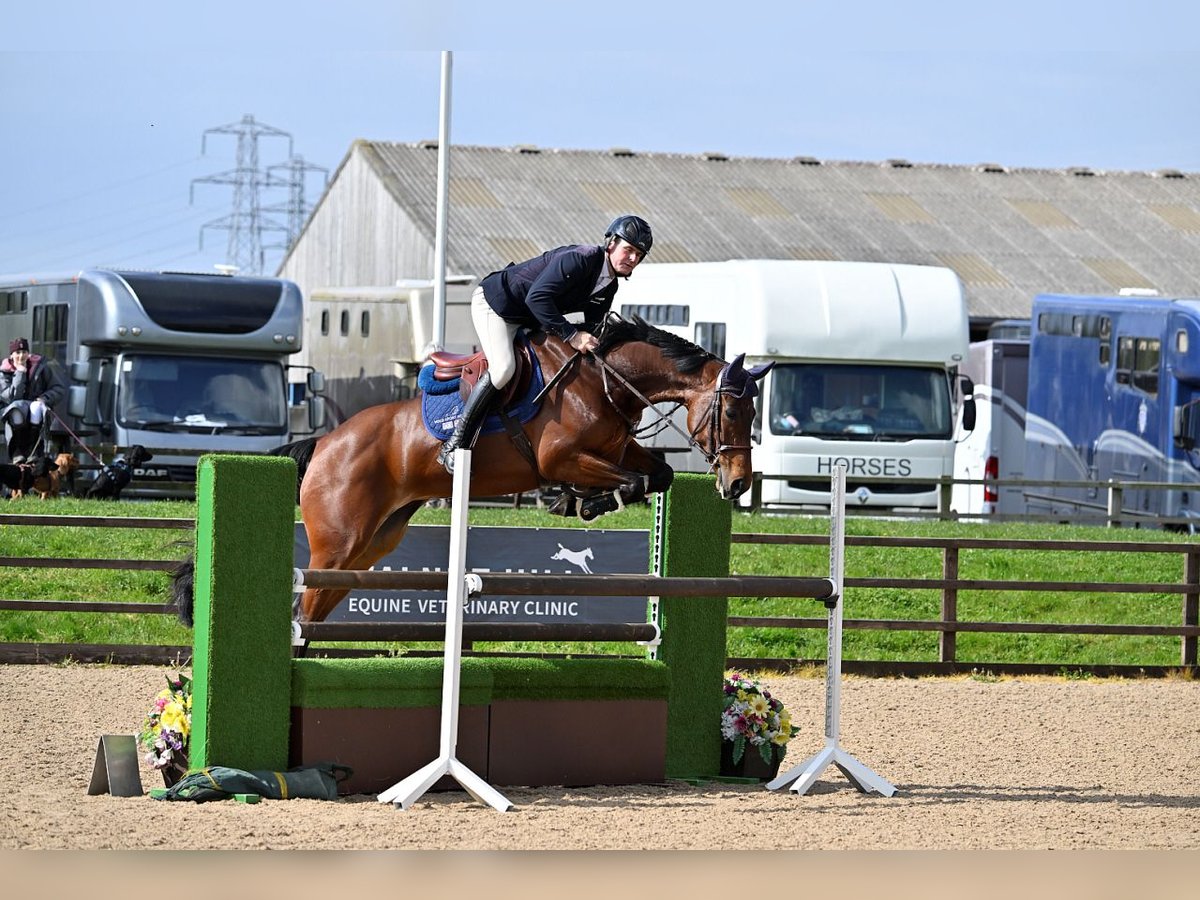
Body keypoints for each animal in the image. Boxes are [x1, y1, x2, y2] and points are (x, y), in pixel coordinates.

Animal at [171, 316, 768, 628]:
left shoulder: (619, 449)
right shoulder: (560, 458)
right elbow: (631, 481)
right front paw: (581, 501)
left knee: (317, 605)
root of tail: (324, 444)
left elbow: (657, 474)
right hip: (335, 548)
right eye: (733, 411)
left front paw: (579, 501)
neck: (605, 379)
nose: (738, 483)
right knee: (306, 608)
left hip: (370, 545)